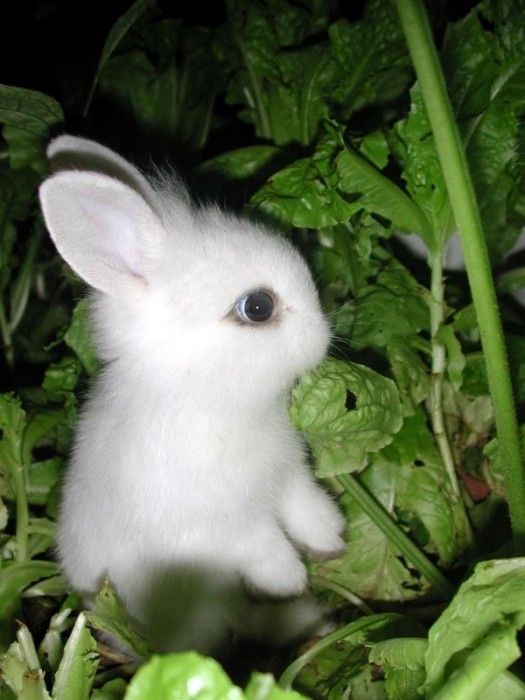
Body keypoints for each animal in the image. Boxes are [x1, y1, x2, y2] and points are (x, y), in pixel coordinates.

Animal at [39, 135, 346, 655]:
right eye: (257, 307)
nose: (324, 335)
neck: (203, 397)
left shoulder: (286, 477)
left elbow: (303, 507)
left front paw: (332, 539)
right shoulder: (220, 526)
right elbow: (263, 544)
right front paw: (291, 579)